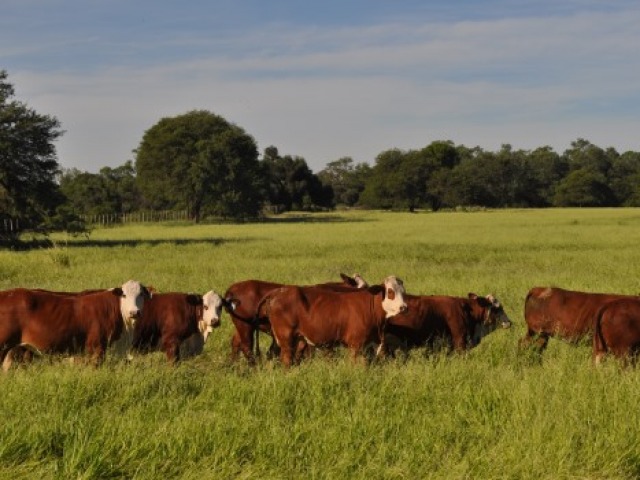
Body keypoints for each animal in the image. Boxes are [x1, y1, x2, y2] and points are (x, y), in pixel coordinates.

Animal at [255, 276, 404, 366]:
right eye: (390, 292)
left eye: (403, 292)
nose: (404, 307)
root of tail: (278, 292)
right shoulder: (356, 345)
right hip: (286, 339)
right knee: (286, 361)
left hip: (298, 339)